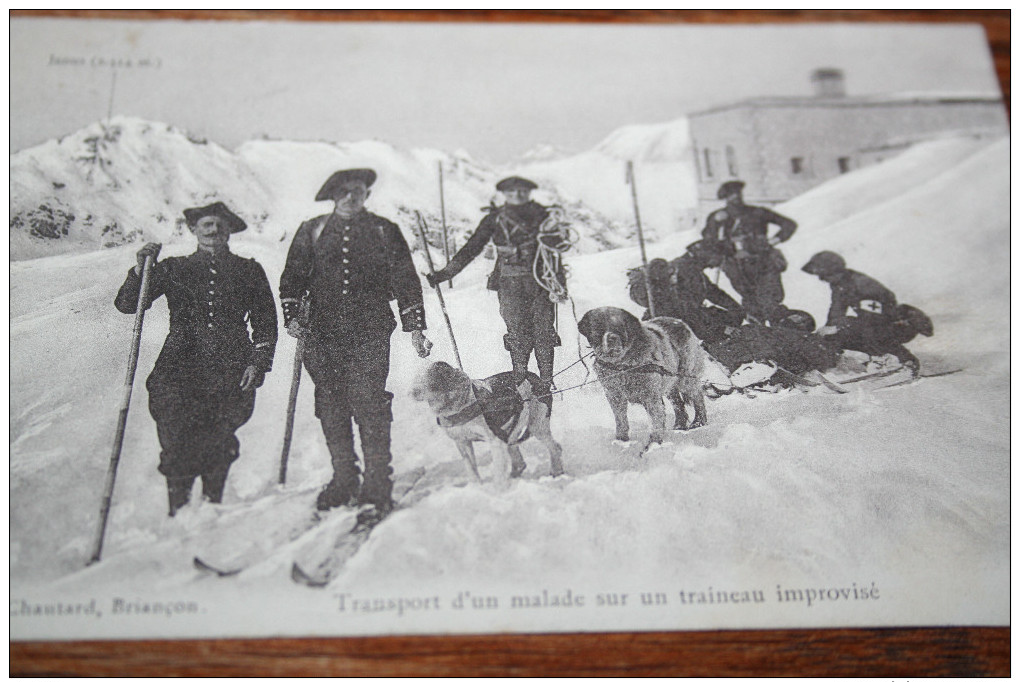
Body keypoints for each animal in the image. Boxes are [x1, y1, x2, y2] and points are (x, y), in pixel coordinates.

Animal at [579, 307, 705, 442]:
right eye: (599, 327)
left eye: (619, 327)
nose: (612, 338)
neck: (622, 365)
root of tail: (680, 322)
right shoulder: (614, 395)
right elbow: (621, 420)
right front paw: (621, 440)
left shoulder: (651, 396)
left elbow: (656, 420)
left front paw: (654, 443)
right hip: (670, 381)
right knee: (678, 403)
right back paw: (679, 426)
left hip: (685, 378)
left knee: (698, 397)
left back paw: (699, 422)